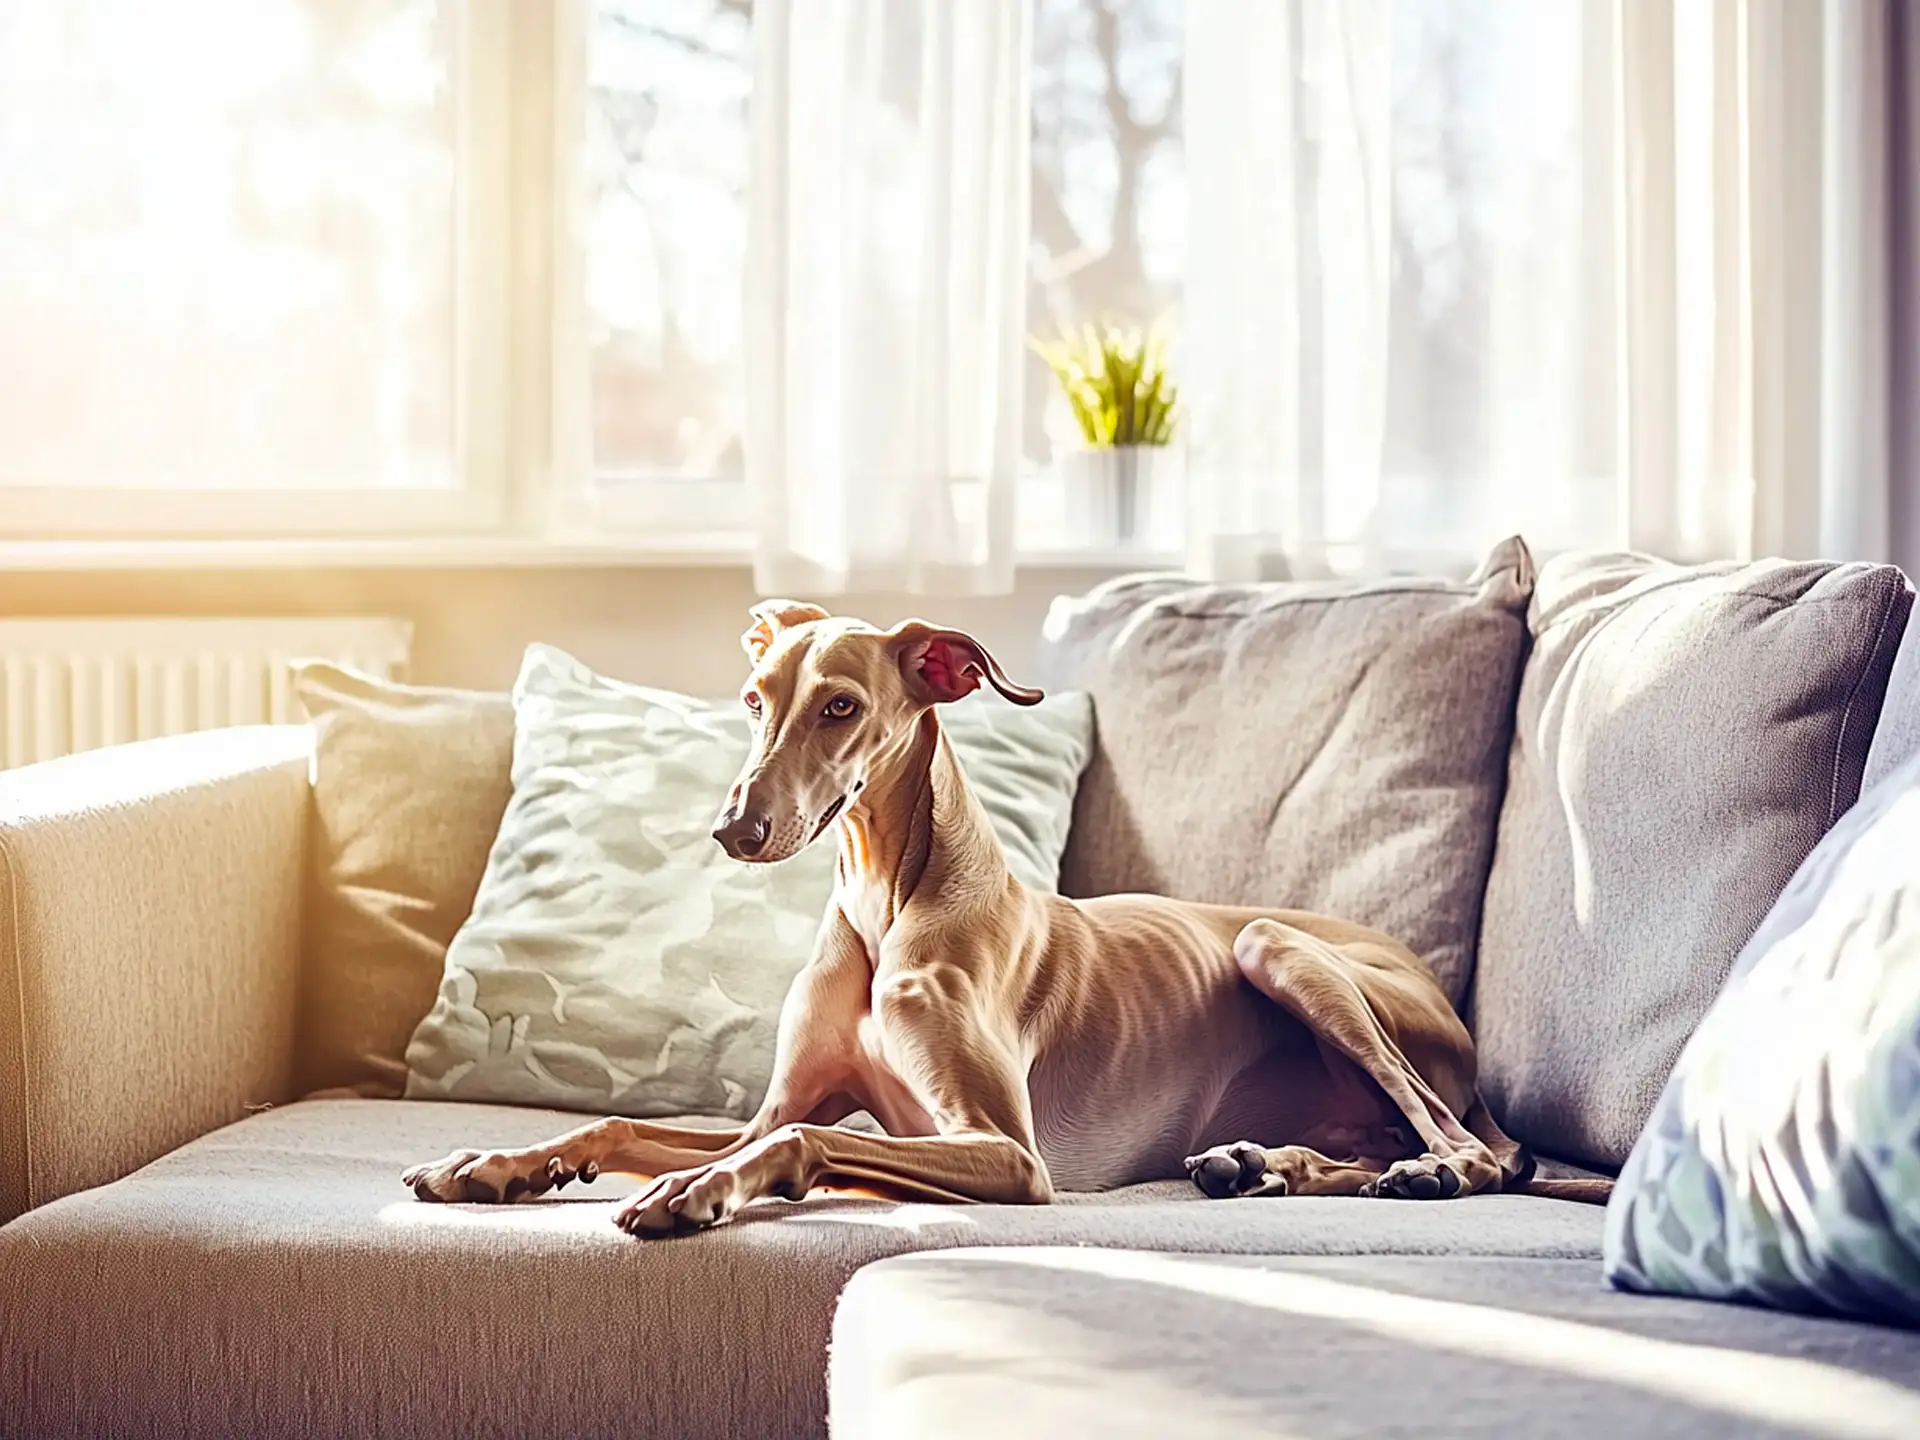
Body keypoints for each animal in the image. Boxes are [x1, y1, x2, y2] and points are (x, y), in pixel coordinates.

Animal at [401, 602, 1589, 1236]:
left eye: (841, 707)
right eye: (753, 701)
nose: (735, 828)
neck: (886, 906)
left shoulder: (1010, 1155)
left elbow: (810, 1140)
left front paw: (698, 1190)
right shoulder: (777, 1101)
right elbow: (638, 1125)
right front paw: (496, 1164)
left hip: (1278, 946)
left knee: (1467, 1147)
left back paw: (1427, 1170)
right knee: (1377, 1142)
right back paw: (1258, 1163)